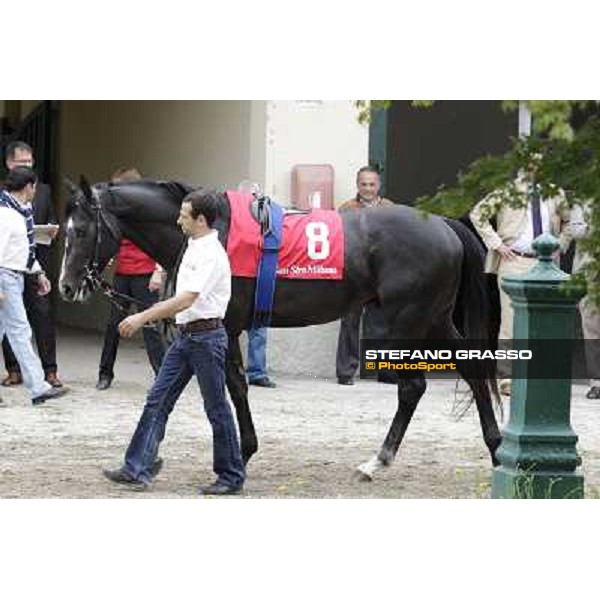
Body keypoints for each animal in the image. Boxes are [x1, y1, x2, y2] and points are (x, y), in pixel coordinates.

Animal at [59, 176, 502, 480]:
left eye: (80, 231)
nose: (66, 286)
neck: (212, 231)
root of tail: (443, 224)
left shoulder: (226, 326)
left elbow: (234, 387)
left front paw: (243, 453)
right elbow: (178, 387)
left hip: (407, 319)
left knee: (412, 388)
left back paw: (377, 460)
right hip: (436, 318)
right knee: (473, 371)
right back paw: (496, 448)